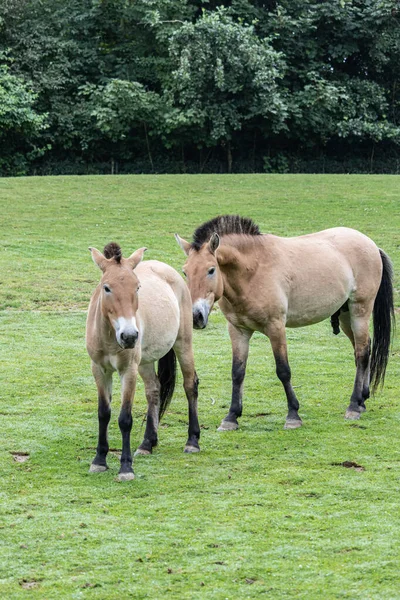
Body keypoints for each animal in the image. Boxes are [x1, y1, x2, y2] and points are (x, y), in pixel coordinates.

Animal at [86, 241, 202, 480]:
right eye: (106, 287)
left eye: (137, 287)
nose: (129, 336)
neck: (110, 337)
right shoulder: (99, 370)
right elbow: (104, 413)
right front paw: (99, 460)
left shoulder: (128, 370)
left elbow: (125, 418)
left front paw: (126, 468)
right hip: (146, 361)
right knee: (154, 390)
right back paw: (148, 443)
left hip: (183, 344)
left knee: (190, 385)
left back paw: (192, 441)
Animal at [176, 216, 394, 432]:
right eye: (185, 272)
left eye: (211, 270)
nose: (195, 316)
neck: (253, 271)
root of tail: (370, 244)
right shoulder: (238, 330)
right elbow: (237, 372)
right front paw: (231, 417)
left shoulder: (276, 327)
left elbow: (283, 370)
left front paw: (293, 415)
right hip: (345, 315)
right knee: (362, 350)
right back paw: (362, 400)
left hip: (360, 310)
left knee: (362, 353)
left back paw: (354, 405)